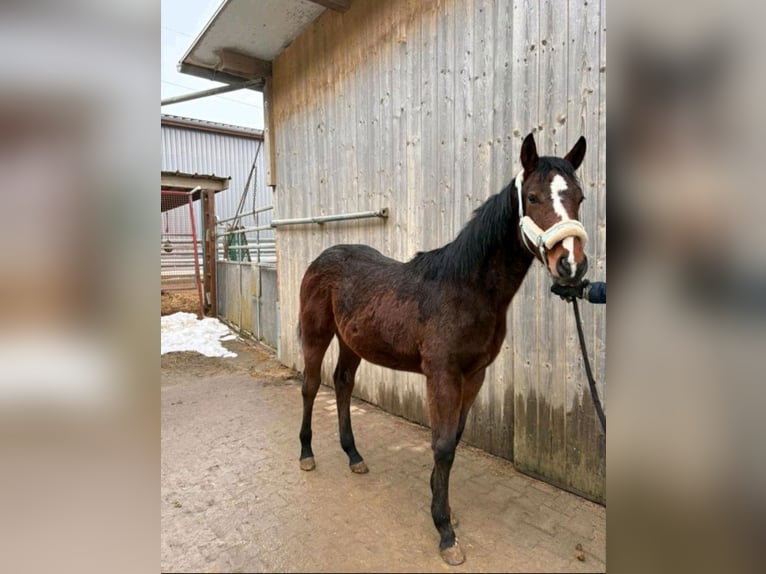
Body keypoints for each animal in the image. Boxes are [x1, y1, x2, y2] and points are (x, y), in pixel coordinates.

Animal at [297, 132, 589, 565]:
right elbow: (443, 445)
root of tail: (322, 257)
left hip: (353, 342)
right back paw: (306, 454)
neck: (464, 289)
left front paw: (442, 506)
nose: (571, 266)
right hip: (317, 334)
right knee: (311, 386)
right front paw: (445, 531)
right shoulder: (442, 375)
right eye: (534, 197)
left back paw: (354, 456)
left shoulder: (474, 375)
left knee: (344, 382)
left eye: (580, 197)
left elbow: (454, 437)